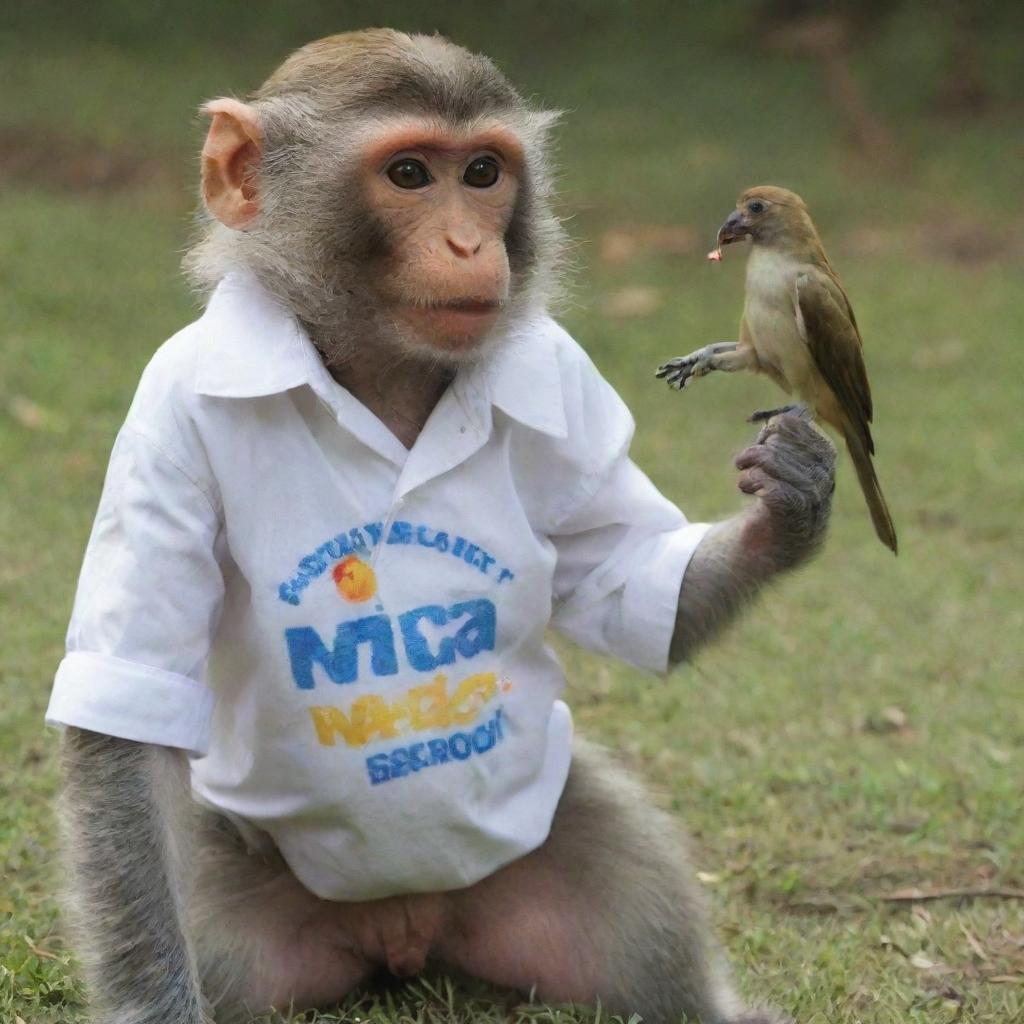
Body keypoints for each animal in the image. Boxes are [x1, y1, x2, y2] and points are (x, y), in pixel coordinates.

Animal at [48, 29, 835, 1024]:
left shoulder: (566, 376)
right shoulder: (165, 420)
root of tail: (407, 925)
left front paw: (790, 504)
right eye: (411, 174)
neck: (386, 370)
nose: (469, 241)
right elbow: (128, 721)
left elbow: (627, 581)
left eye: (485, 173)